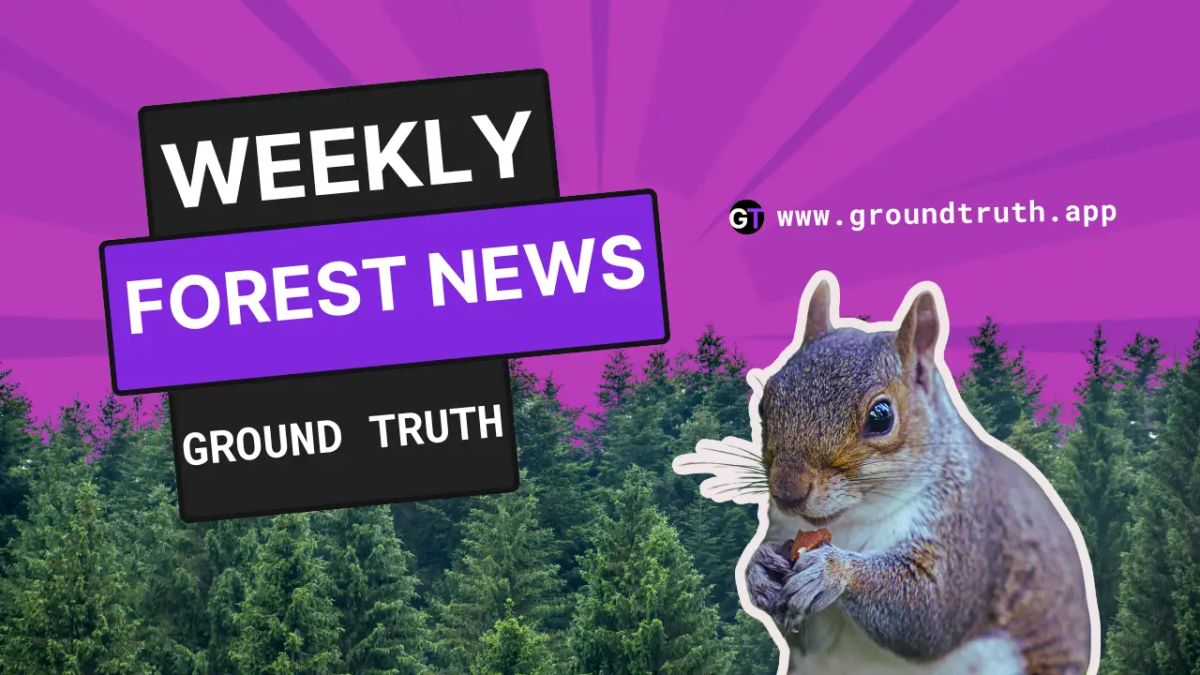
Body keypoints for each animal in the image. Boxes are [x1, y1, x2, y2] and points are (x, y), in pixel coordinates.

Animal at [740, 276, 1095, 675]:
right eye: (763, 404)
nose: (788, 491)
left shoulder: (965, 529)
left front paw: (833, 570)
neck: (849, 523)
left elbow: (931, 610)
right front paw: (756, 570)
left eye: (881, 416)